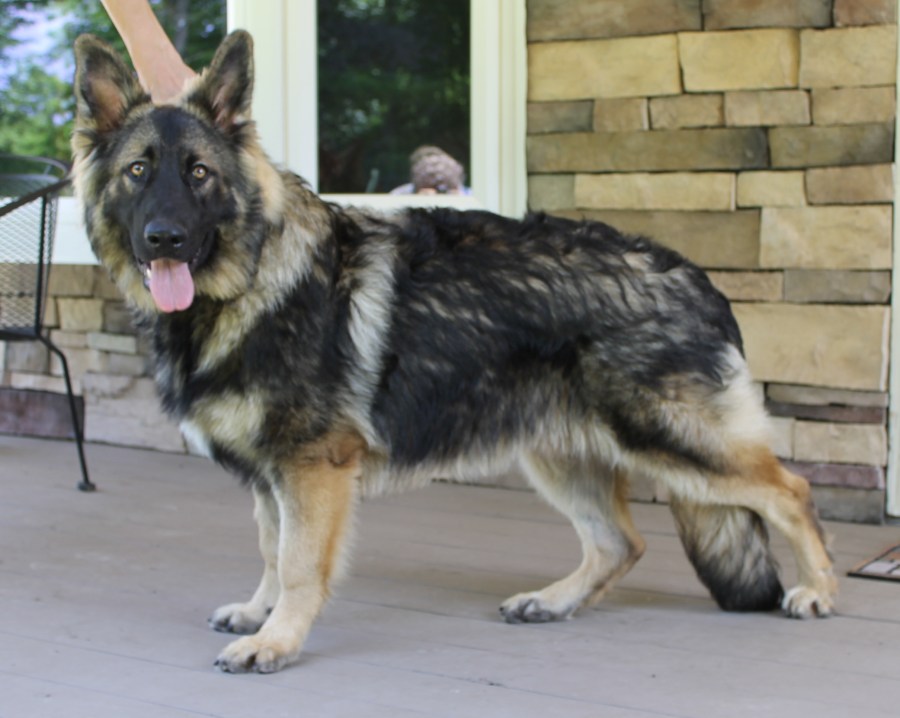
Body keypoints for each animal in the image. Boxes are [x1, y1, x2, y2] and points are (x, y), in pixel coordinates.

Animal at [72, 31, 836, 674]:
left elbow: (297, 562)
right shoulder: (272, 476)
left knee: (789, 491)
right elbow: (269, 547)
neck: (253, 278)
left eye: (199, 173)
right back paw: (553, 601)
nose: (164, 239)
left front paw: (278, 640)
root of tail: (694, 275)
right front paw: (261, 614)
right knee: (623, 542)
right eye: (139, 171)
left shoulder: (310, 470)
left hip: (670, 439)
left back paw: (820, 591)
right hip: (559, 453)